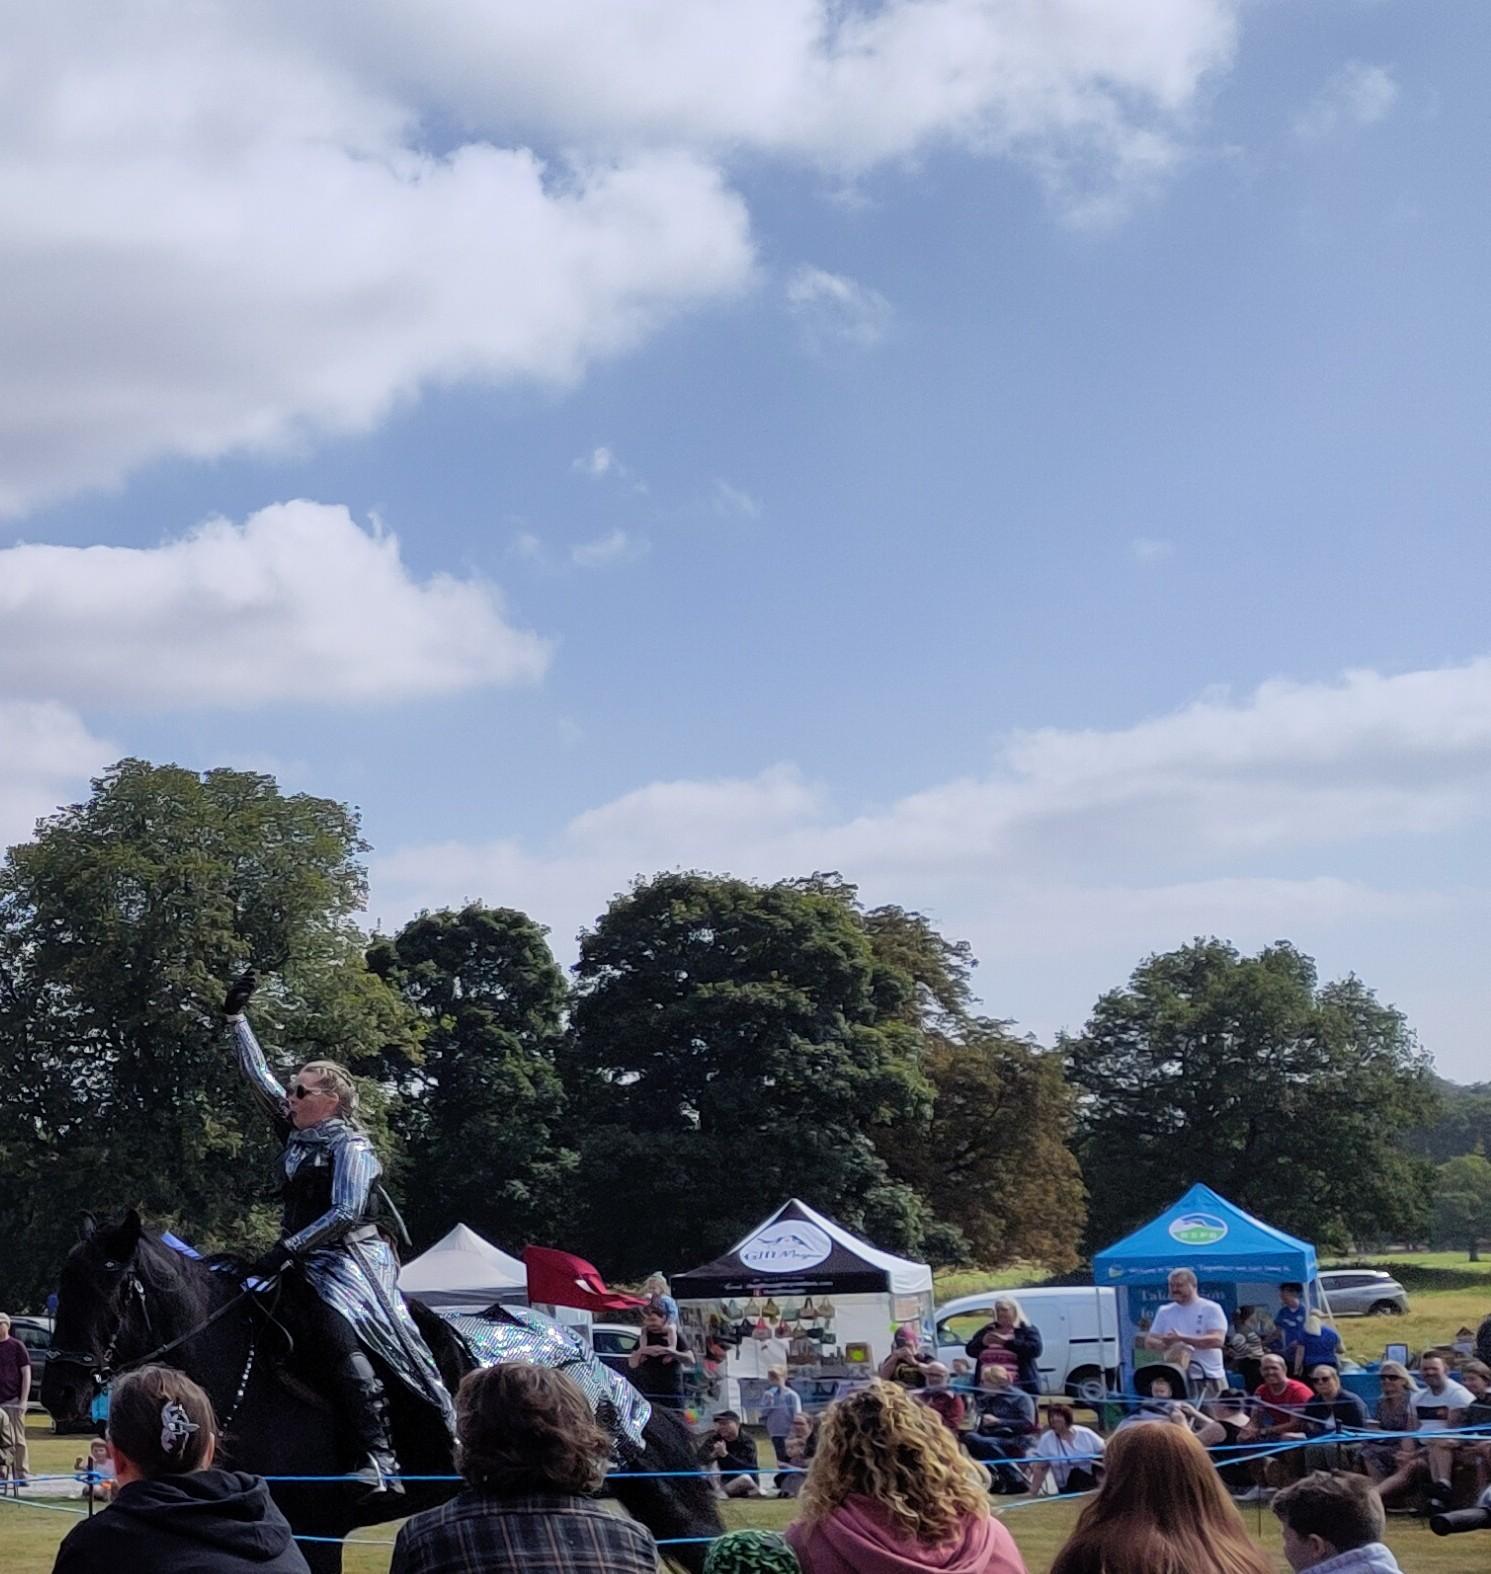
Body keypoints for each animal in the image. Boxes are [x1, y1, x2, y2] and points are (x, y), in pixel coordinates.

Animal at [42, 1210, 723, 1572]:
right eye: (62, 1287)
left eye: (107, 1287)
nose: (60, 1393)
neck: (244, 1369)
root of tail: (590, 1362)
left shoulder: (315, 1530)